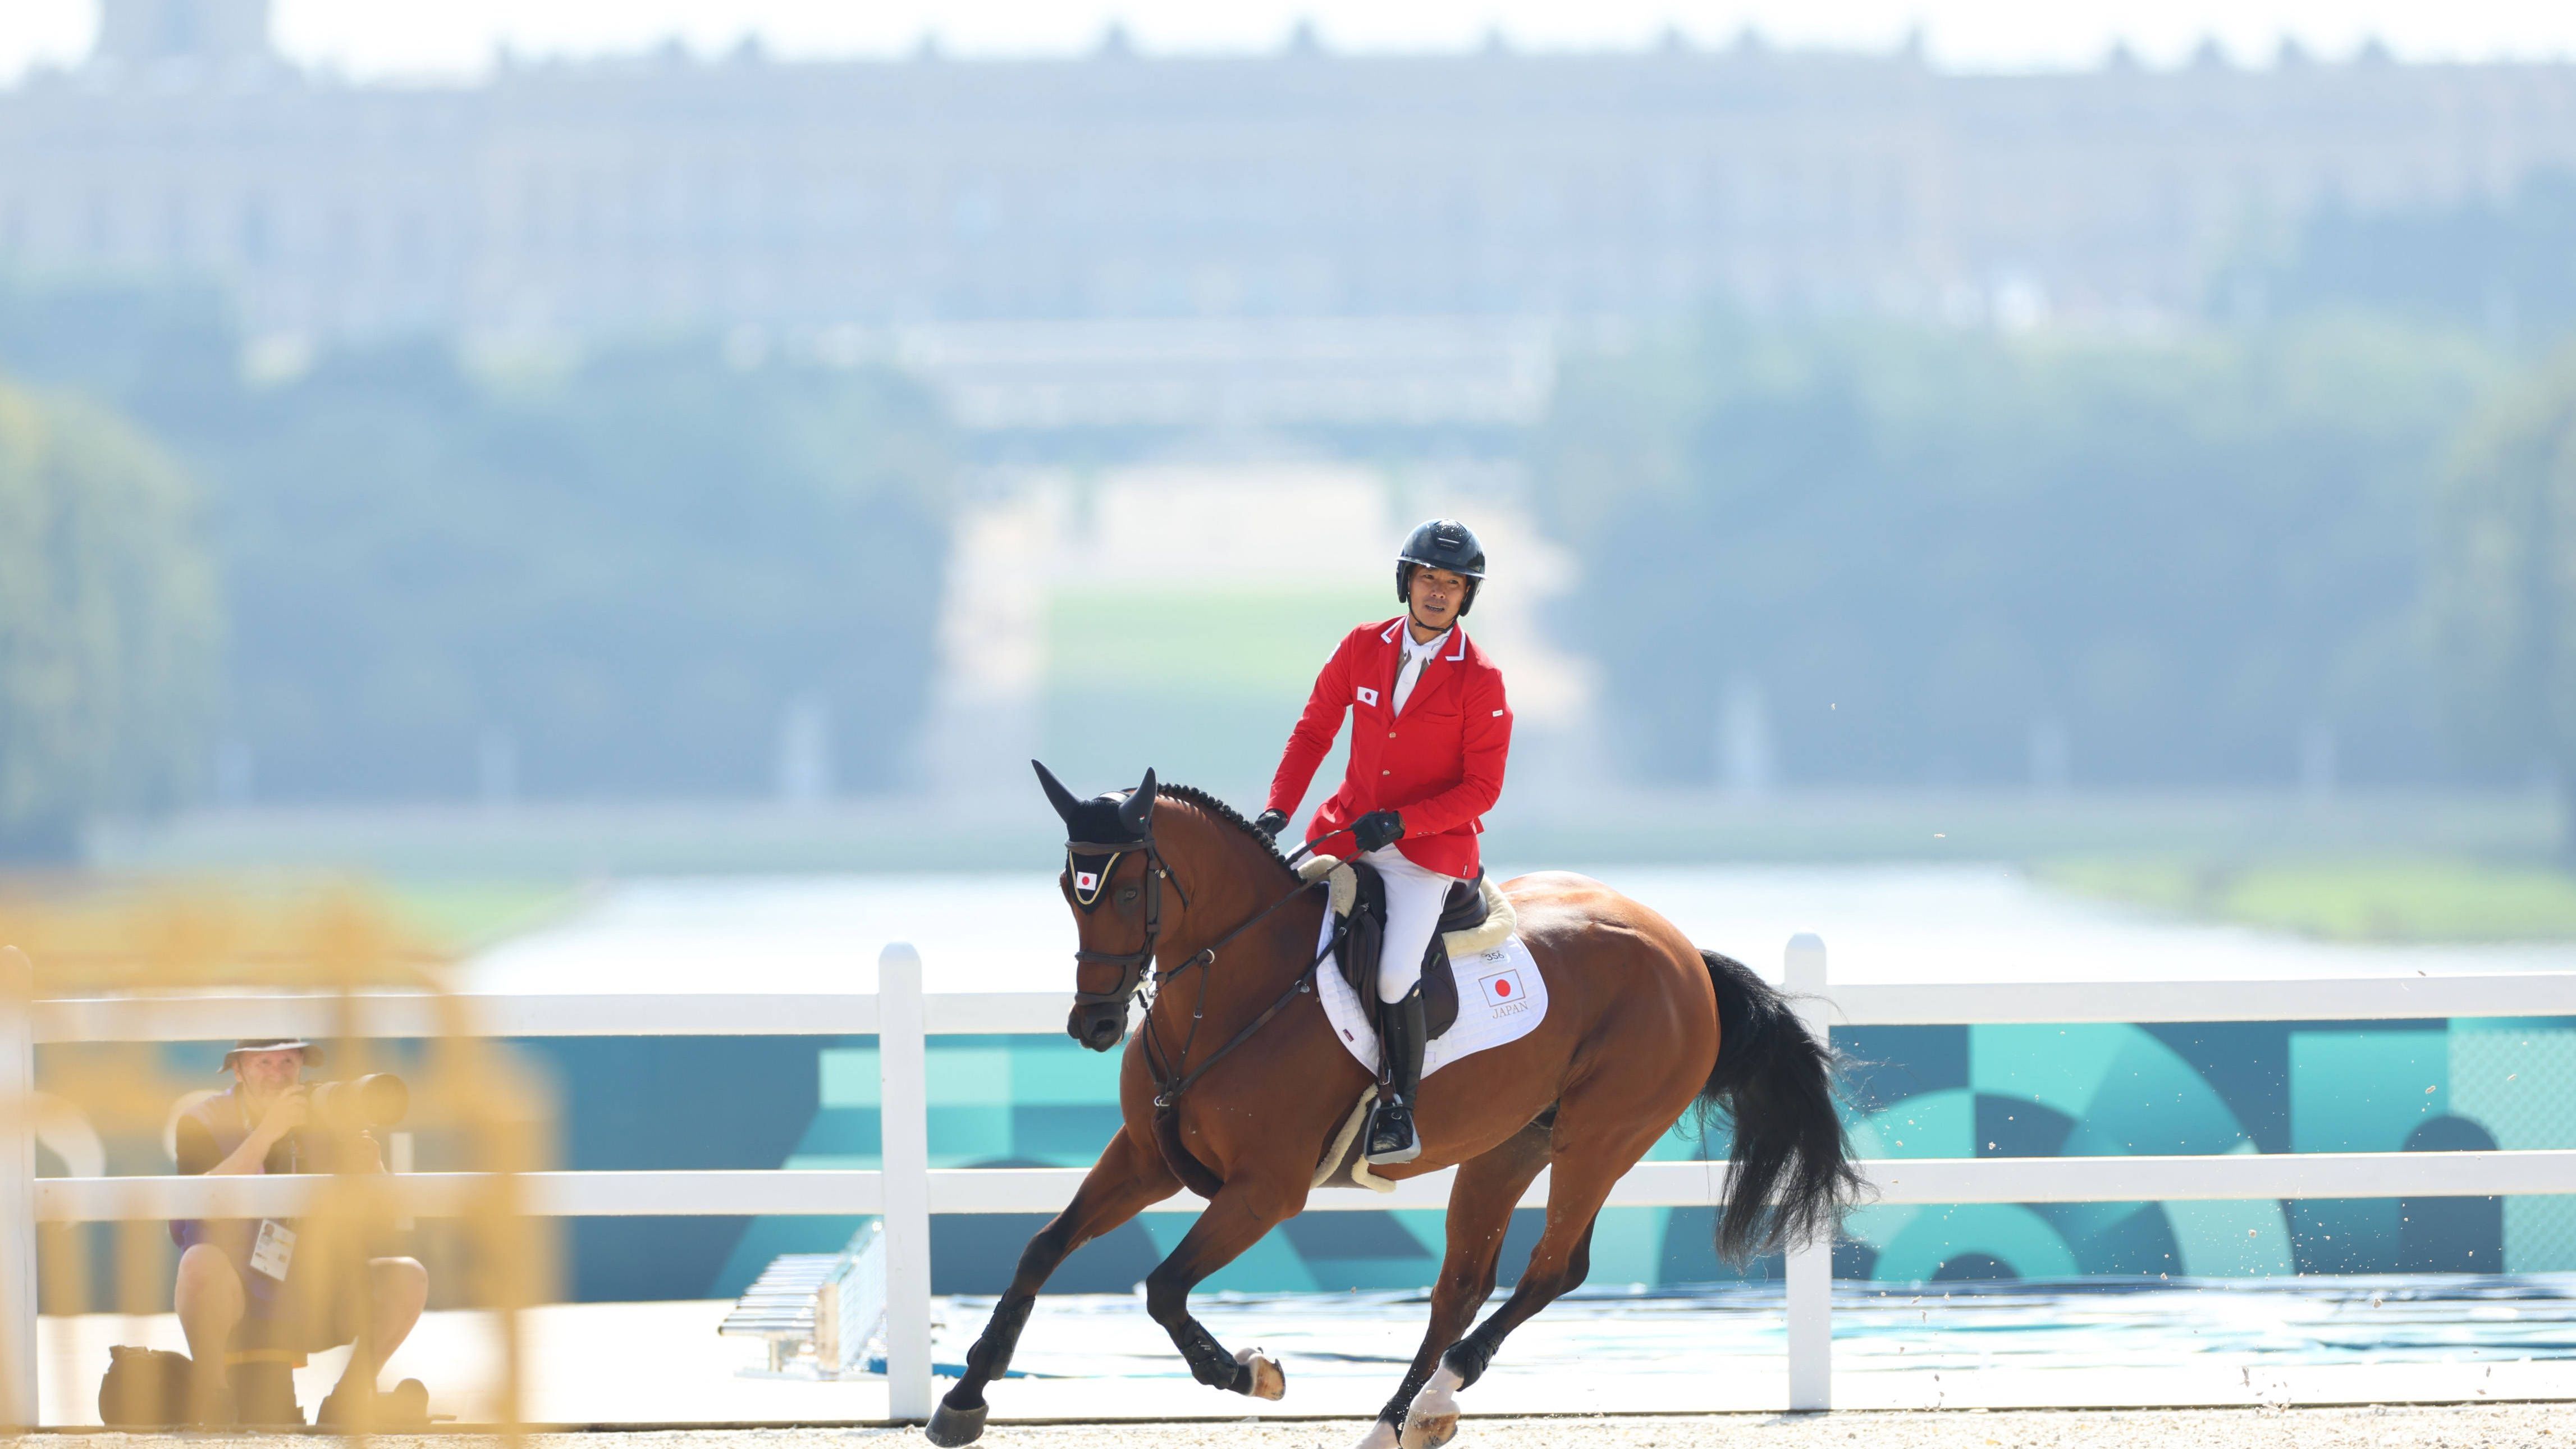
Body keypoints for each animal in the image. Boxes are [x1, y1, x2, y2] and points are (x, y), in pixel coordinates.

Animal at [922, 763, 1855, 1433]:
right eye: (1065, 889)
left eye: (1122, 891)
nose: (1094, 1024)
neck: (1229, 986)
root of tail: (1683, 952)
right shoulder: (1146, 1156)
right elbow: (1042, 1248)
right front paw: (964, 1397)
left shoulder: (1264, 1191)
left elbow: (1161, 1288)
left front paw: (1249, 1371)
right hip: (1510, 1143)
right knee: (1463, 1282)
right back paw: (1399, 1417)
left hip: (1600, 1137)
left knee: (1552, 1268)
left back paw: (1441, 1392)